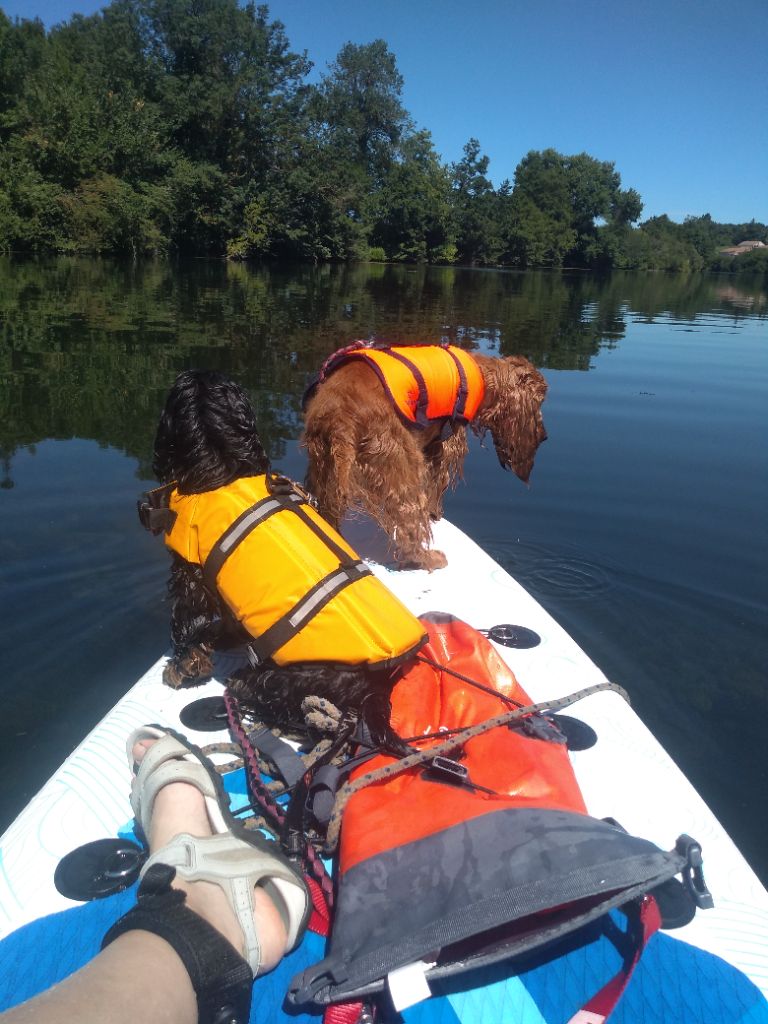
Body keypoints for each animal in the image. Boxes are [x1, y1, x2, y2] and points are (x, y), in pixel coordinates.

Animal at [144, 370, 421, 753]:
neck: (222, 465)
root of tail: (377, 684)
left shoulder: (190, 569)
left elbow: (186, 620)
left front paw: (183, 666)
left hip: (284, 678)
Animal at [303, 342, 548, 569]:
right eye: (539, 401)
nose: (545, 436)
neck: (483, 376)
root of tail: (339, 418)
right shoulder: (444, 445)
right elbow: (436, 486)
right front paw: (435, 513)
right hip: (401, 466)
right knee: (408, 525)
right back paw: (429, 558)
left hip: (326, 469)